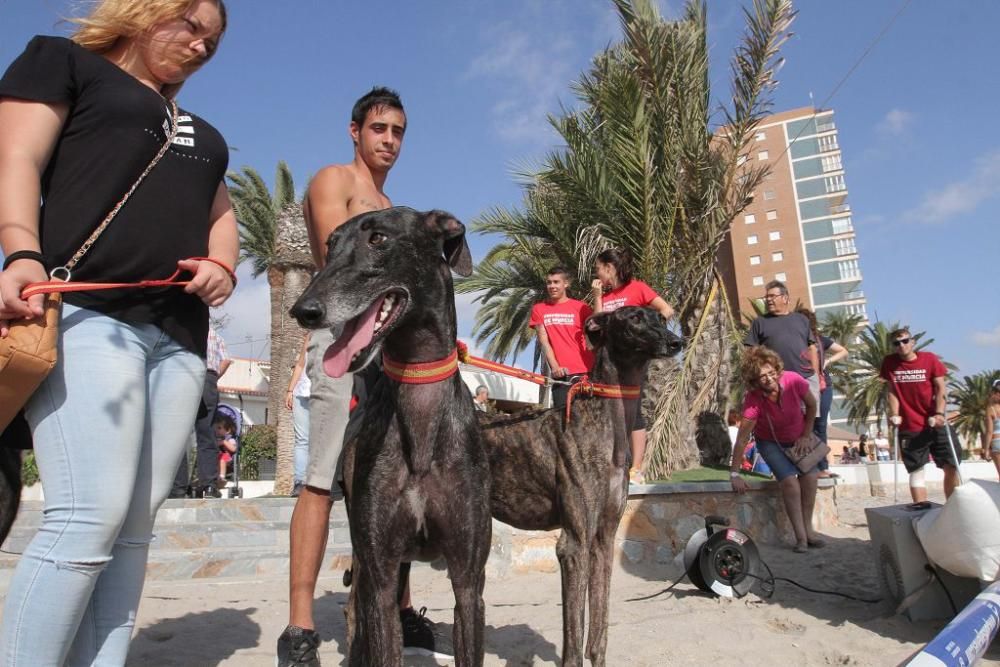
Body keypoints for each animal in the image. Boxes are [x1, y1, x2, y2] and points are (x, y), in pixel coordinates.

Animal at [480, 310, 684, 667]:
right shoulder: (574, 545)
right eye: (634, 319)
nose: (677, 342)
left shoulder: (603, 540)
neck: (604, 423)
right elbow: (573, 641)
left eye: (660, 318)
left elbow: (598, 634)